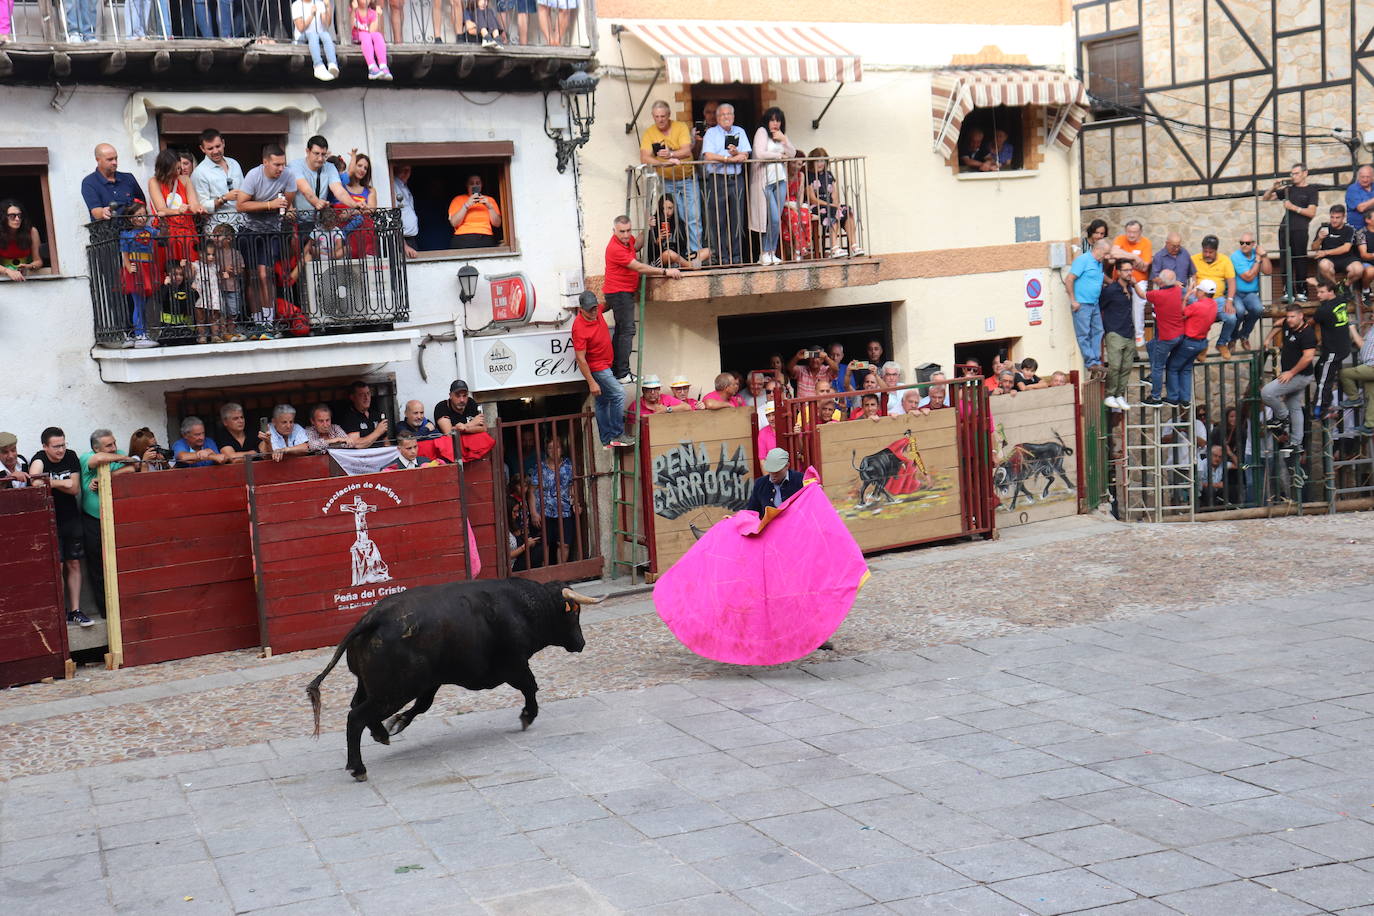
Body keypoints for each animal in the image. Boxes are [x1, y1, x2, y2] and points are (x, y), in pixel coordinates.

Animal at [311, 579, 601, 780]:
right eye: (574, 613)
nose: (582, 643)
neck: (523, 607)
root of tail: (372, 618)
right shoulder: (515, 665)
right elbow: (531, 686)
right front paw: (528, 715)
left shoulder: (433, 682)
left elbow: (422, 706)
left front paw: (399, 722)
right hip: (393, 691)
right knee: (356, 716)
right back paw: (358, 767)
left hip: (374, 686)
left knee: (357, 708)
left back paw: (381, 734)